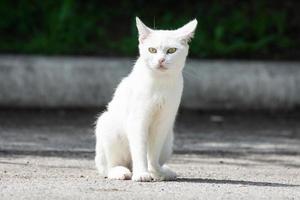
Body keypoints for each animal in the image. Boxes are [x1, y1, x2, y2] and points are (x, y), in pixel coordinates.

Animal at [94, 17, 197, 181]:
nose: (161, 60)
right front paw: (142, 173)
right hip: (107, 125)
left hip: (169, 138)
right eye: (152, 50)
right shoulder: (138, 120)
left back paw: (164, 171)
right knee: (109, 167)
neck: (160, 82)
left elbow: (152, 154)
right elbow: (139, 149)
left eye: (171, 50)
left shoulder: (163, 122)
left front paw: (155, 172)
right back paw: (121, 172)